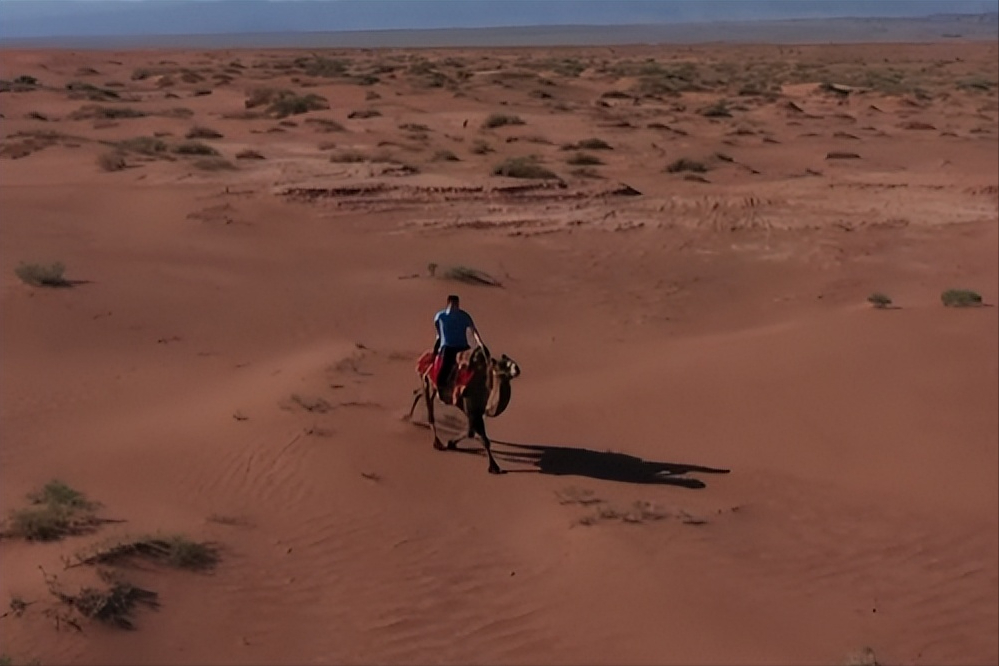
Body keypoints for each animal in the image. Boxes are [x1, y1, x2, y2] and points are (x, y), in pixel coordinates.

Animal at [406, 342, 524, 472]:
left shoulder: (474, 412)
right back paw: (437, 443)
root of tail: (424, 355)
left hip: (433, 387)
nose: (517, 369)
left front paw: (452, 443)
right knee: (429, 409)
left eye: (512, 361)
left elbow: (471, 432)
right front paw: (494, 467)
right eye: (502, 365)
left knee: (420, 395)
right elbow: (480, 437)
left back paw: (410, 418)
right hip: (427, 380)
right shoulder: (472, 409)